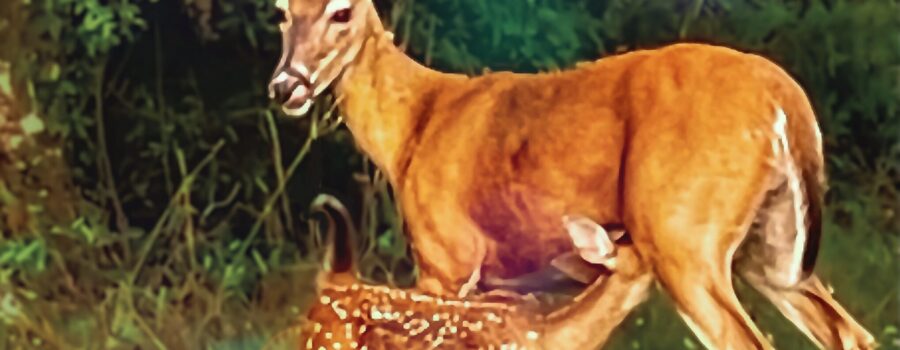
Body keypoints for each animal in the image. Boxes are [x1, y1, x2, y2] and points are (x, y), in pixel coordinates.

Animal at [268, 1, 880, 348]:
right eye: (280, 11)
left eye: (342, 12)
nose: (285, 86)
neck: (415, 126)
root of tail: (786, 98)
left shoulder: (446, 259)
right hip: (771, 251)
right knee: (851, 332)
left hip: (684, 241)